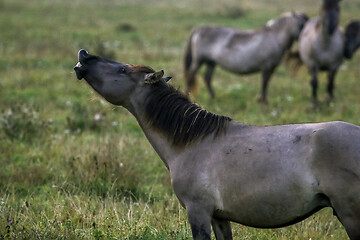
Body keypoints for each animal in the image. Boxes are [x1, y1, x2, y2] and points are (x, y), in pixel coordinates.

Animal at [74, 49, 360, 240]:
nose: (84, 55)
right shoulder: (220, 218)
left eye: (122, 70)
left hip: (350, 215)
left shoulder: (198, 212)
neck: (191, 143)